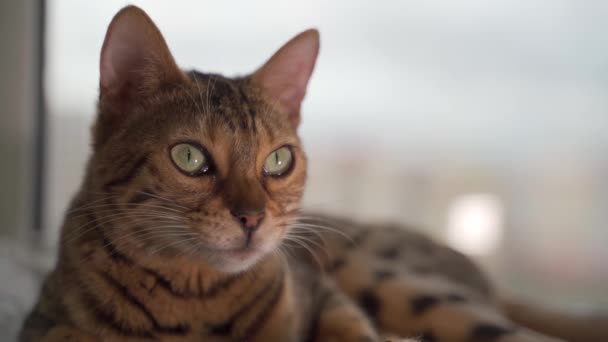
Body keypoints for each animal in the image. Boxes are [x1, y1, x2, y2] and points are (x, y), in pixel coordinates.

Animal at [20, 5, 608, 342]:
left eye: (278, 160)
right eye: (189, 157)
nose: (252, 218)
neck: (192, 301)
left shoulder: (325, 294)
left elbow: (354, 332)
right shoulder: (48, 327)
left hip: (390, 279)